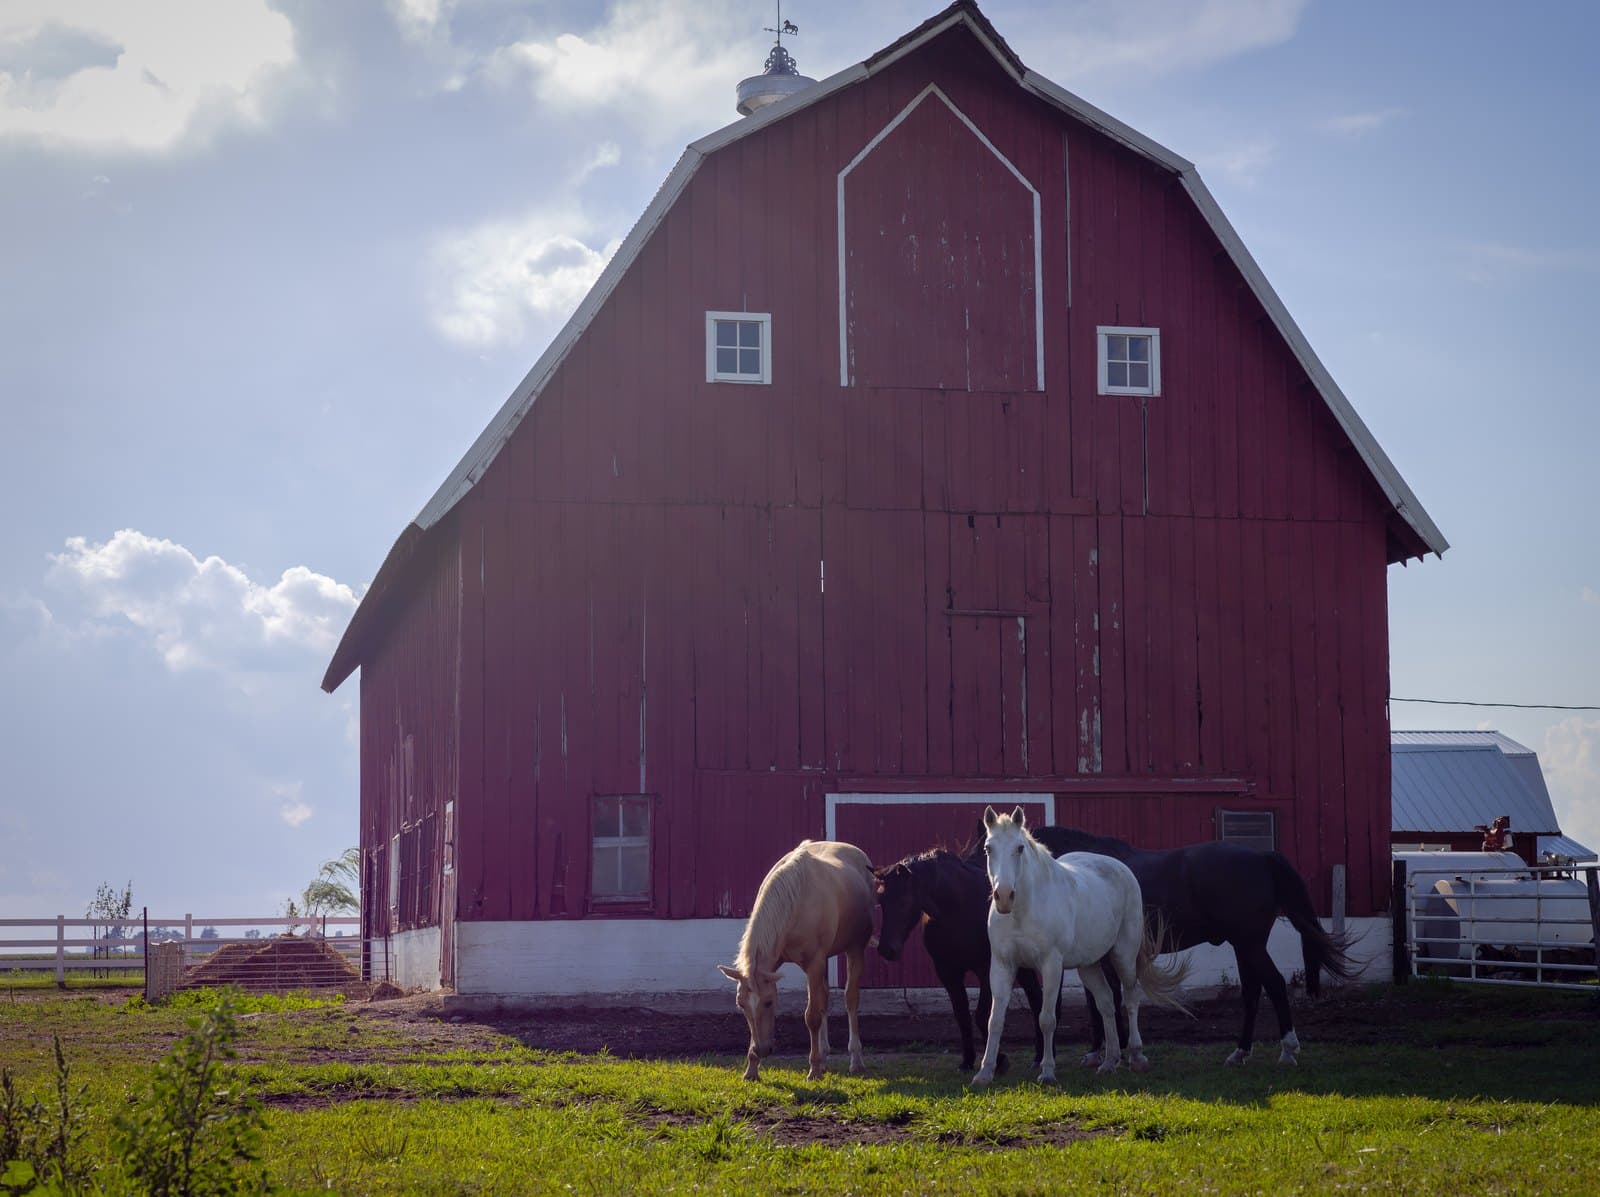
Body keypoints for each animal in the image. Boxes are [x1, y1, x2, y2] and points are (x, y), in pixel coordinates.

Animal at [717, 839, 877, 1081]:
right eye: (741, 1005)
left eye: (769, 1002)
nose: (762, 1050)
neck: (796, 899)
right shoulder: (773, 965)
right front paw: (751, 1069)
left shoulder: (814, 963)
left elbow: (811, 1016)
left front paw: (813, 1070)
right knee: (824, 998)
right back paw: (824, 1055)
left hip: (854, 949)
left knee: (850, 999)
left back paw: (855, 1060)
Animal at [873, 849, 1054, 1072]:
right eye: (882, 901)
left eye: (904, 901)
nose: (886, 949)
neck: (958, 908)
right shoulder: (947, 972)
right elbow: (962, 1015)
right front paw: (968, 1060)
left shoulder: (986, 970)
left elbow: (981, 1015)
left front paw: (998, 1060)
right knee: (1036, 998)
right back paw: (1039, 1056)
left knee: (1037, 1000)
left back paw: (1041, 1056)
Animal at [972, 807, 1189, 1086]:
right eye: (988, 848)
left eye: (1019, 848)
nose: (1003, 896)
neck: (1024, 910)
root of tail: (1121, 868)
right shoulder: (1002, 965)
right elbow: (995, 1020)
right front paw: (984, 1073)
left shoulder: (1051, 965)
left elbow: (1047, 1019)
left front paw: (1047, 1072)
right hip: (1089, 966)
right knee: (1106, 1002)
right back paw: (1109, 1061)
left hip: (1124, 956)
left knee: (1130, 999)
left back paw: (1137, 1057)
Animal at [1033, 826, 1359, 1066]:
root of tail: (1262, 857)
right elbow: (1102, 1000)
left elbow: (1101, 1001)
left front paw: (1112, 1050)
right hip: (1246, 946)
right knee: (1253, 992)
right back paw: (1240, 1052)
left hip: (1249, 944)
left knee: (1275, 985)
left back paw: (1288, 1050)